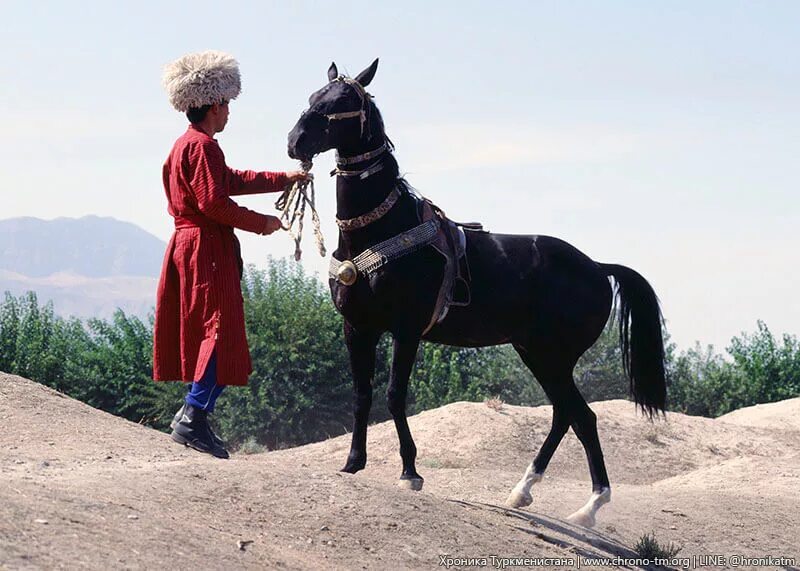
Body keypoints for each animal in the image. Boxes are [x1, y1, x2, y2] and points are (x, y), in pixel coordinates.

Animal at [284, 59, 664, 528]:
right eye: (313, 96)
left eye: (341, 102)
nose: (295, 141)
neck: (380, 230)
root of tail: (597, 267)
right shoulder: (358, 327)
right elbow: (362, 395)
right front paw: (353, 463)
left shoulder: (406, 331)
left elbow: (393, 395)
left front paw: (410, 473)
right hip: (536, 353)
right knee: (566, 415)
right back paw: (524, 492)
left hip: (553, 357)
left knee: (582, 417)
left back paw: (590, 505)